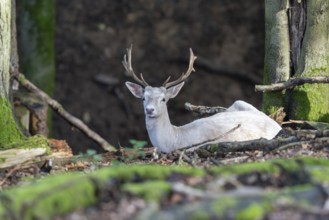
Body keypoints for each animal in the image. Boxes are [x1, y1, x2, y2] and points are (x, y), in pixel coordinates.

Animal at [121, 46, 280, 153]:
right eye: (143, 98)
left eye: (164, 99)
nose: (150, 110)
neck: (173, 141)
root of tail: (277, 125)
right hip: (239, 102)